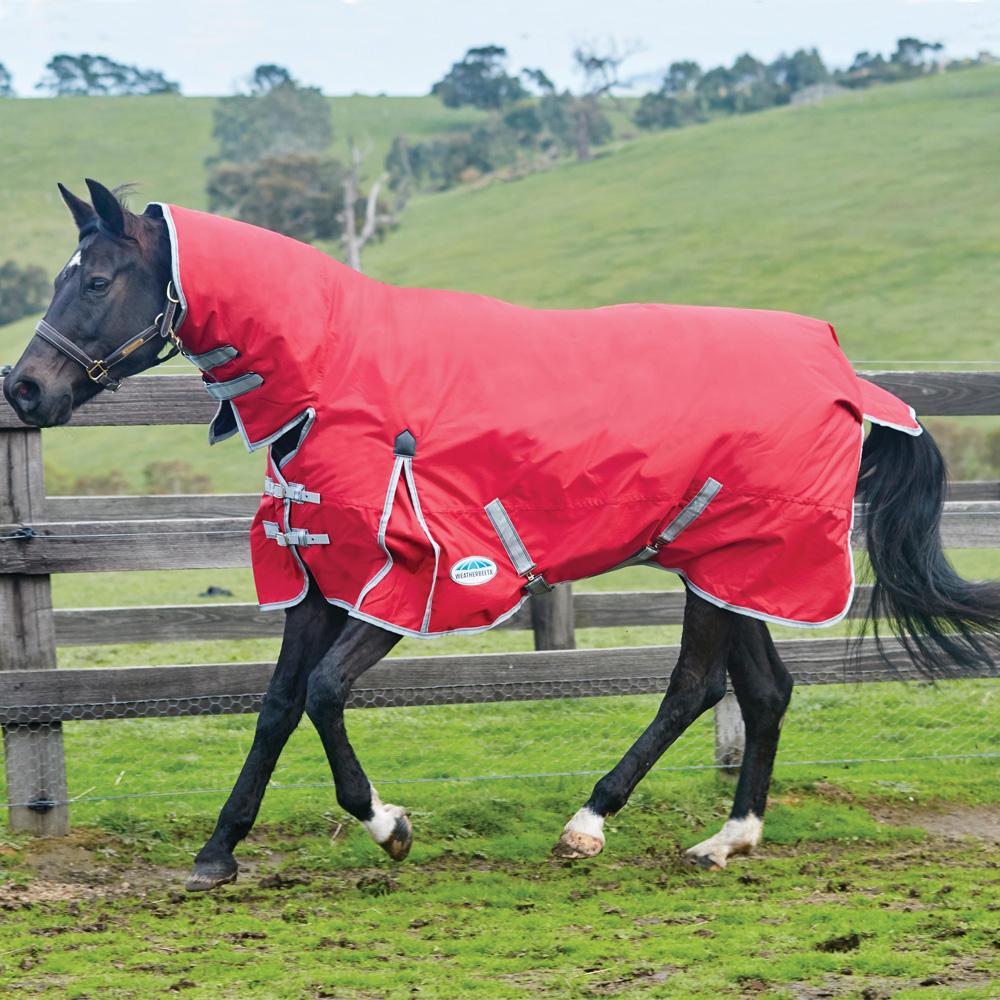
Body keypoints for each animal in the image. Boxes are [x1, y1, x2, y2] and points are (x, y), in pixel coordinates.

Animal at [5, 179, 999, 893]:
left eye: (96, 279)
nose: (25, 389)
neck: (337, 375)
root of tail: (844, 373)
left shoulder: (414, 583)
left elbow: (324, 694)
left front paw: (390, 826)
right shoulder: (321, 576)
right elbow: (279, 705)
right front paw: (218, 852)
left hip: (730, 566)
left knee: (693, 686)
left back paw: (589, 825)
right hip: (726, 566)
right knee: (763, 690)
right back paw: (727, 839)